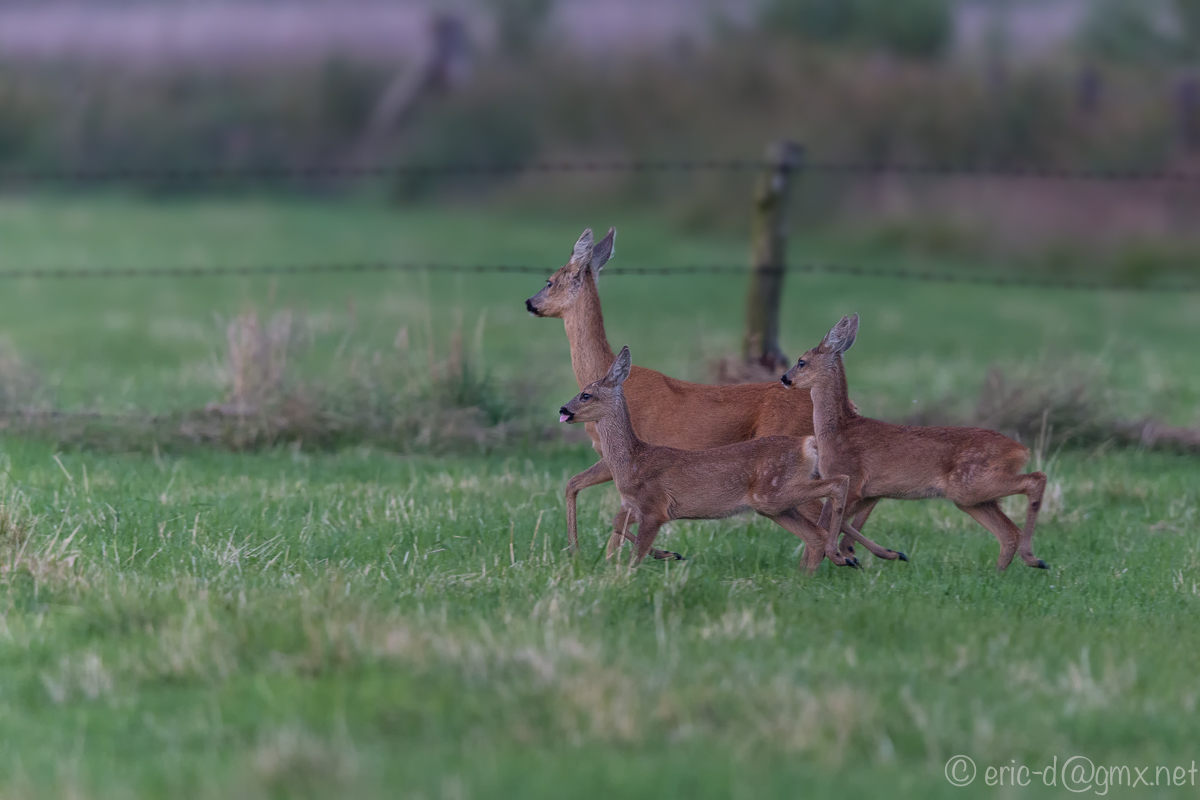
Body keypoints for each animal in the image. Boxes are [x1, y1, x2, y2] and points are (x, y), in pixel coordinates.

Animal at [556, 347, 849, 573]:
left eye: (586, 395)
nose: (563, 408)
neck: (633, 461)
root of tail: (808, 445)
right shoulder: (633, 506)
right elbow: (616, 525)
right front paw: (669, 554)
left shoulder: (655, 507)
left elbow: (635, 555)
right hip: (773, 506)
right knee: (815, 535)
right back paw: (809, 576)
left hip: (774, 493)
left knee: (839, 484)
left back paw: (840, 557)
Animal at [777, 316, 1051, 573]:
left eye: (801, 361)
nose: (784, 378)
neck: (838, 431)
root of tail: (1020, 450)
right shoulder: (869, 492)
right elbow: (835, 524)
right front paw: (848, 559)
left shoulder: (851, 479)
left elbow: (825, 523)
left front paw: (811, 570)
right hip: (970, 498)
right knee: (1008, 532)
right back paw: (1002, 572)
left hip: (972, 484)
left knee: (1036, 479)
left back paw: (1033, 558)